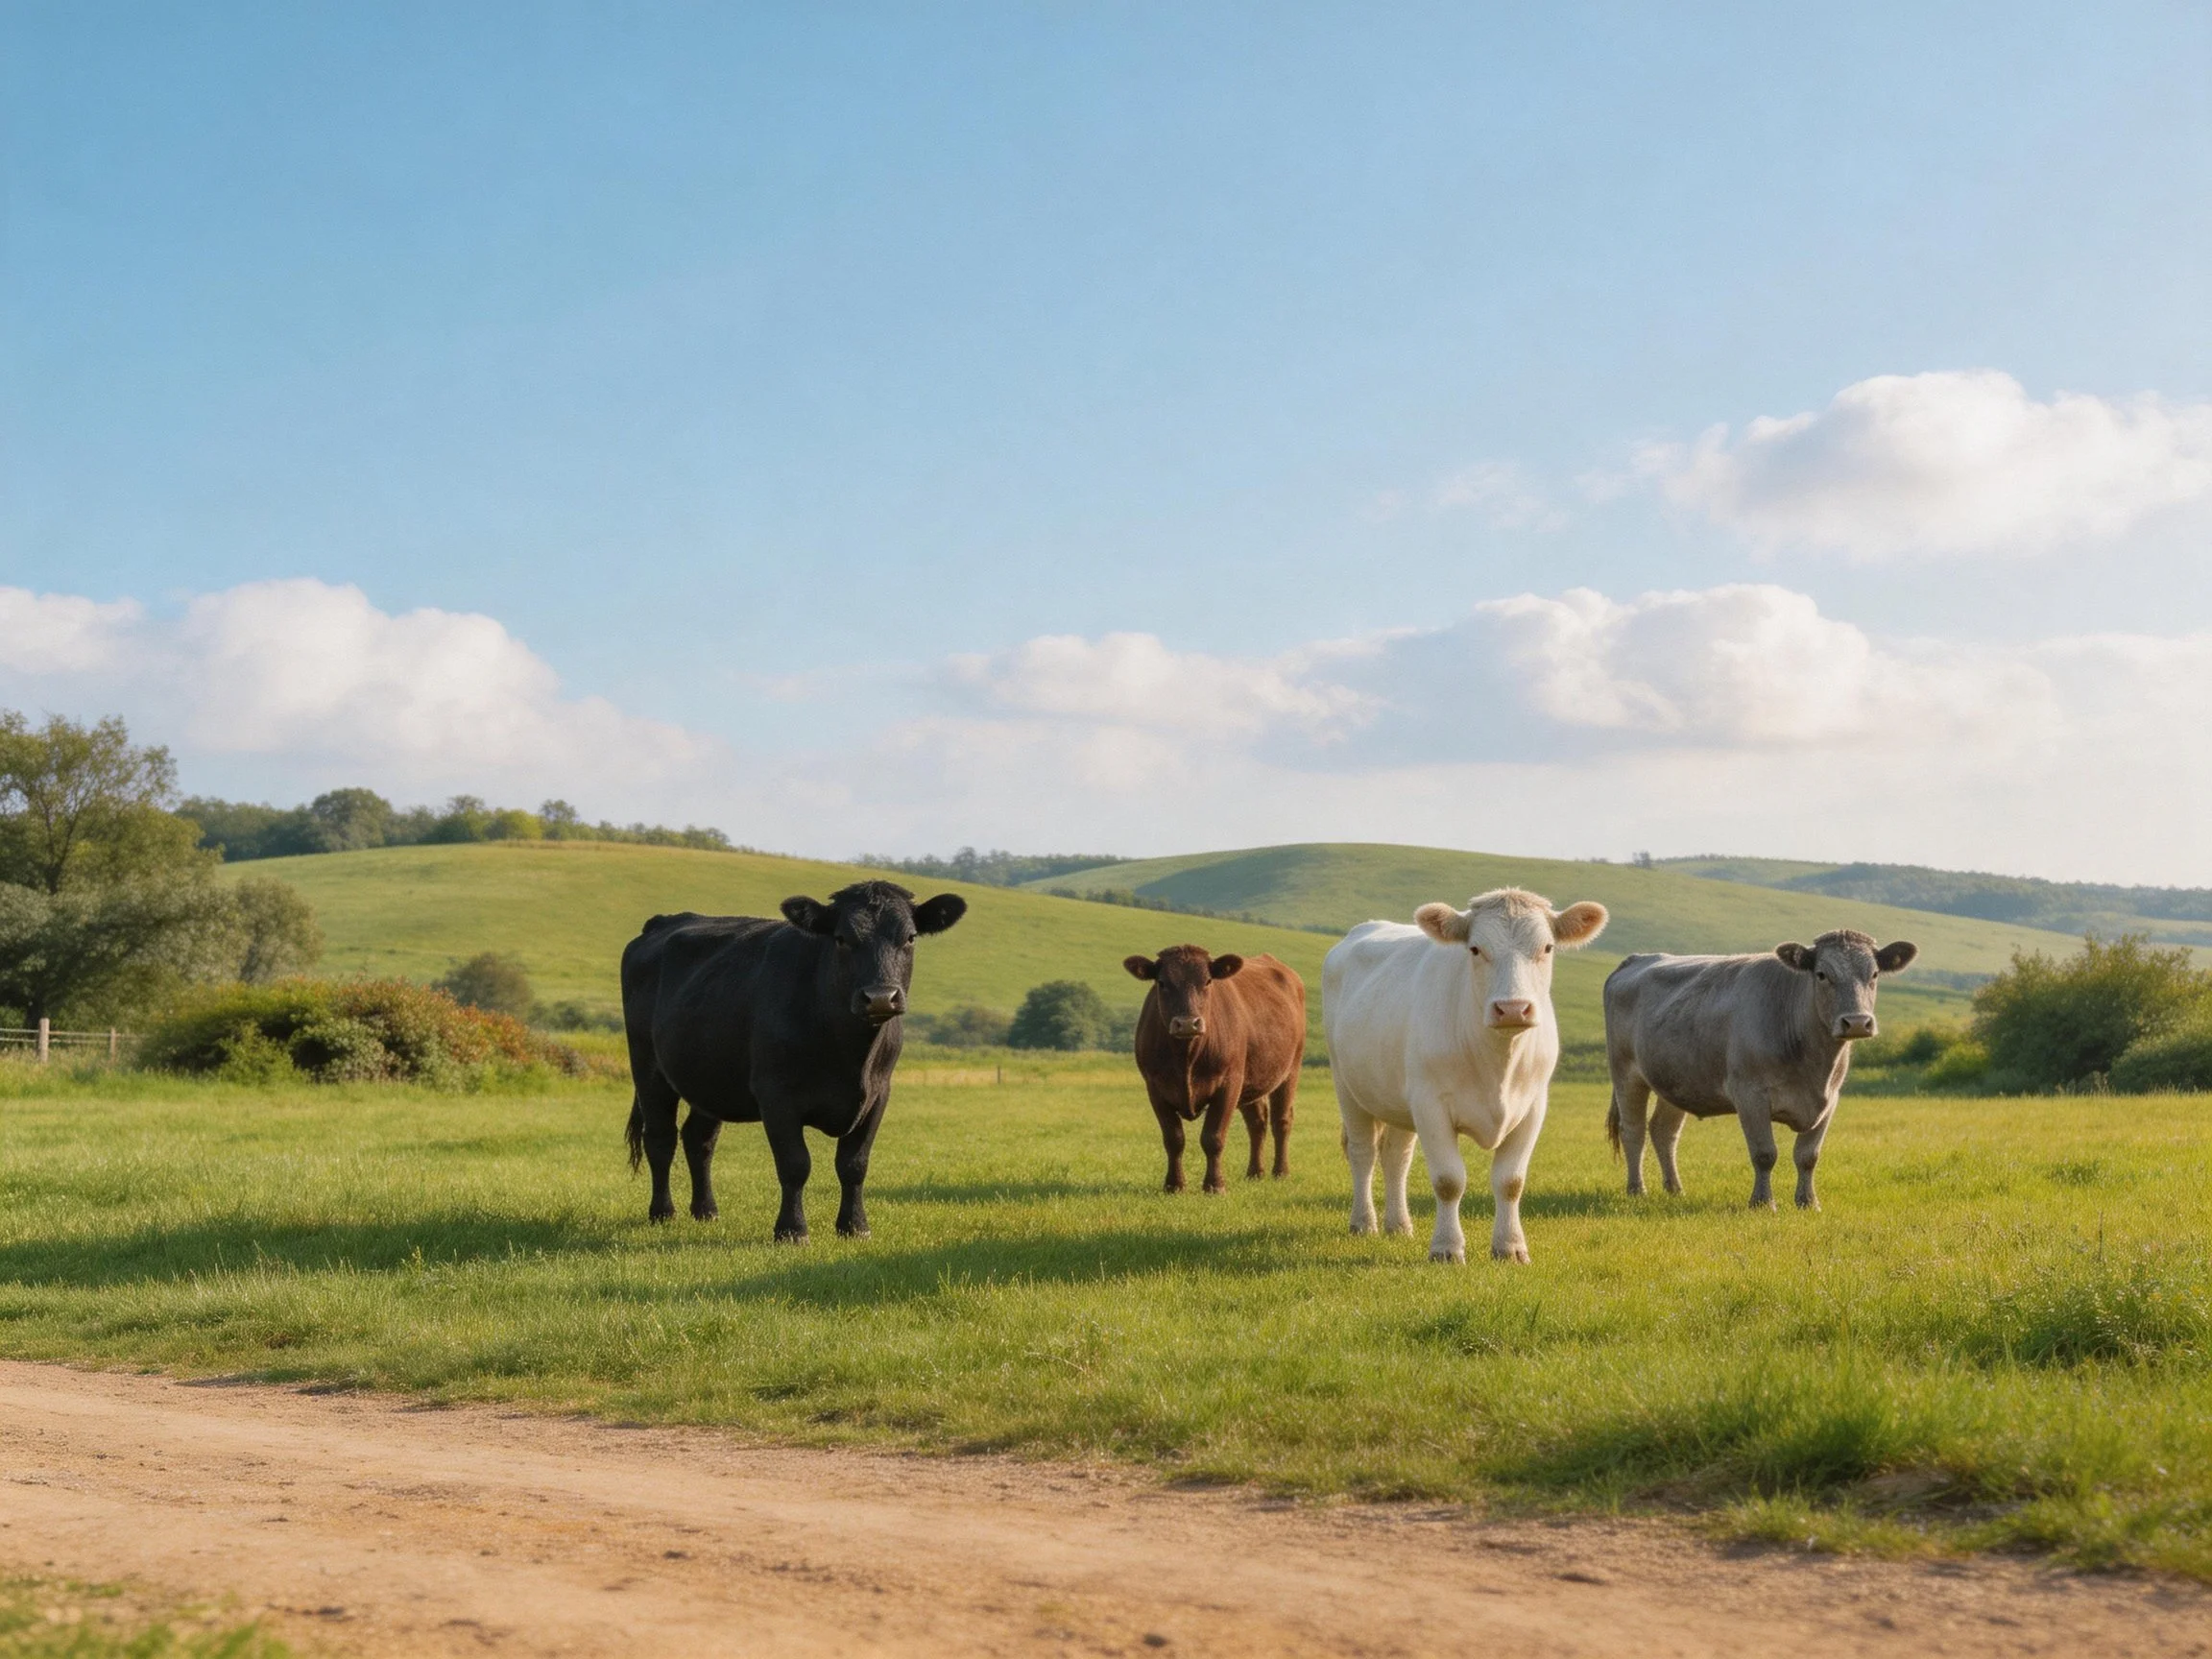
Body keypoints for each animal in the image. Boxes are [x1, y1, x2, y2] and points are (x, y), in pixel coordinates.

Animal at [619, 880, 966, 1242]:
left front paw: (854, 1226)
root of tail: (664, 921)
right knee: (660, 1139)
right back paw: (663, 1212)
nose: (881, 997)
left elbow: (854, 1164)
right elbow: (795, 1164)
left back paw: (706, 1211)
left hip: (710, 1077)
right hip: (648, 1069)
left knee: (698, 1140)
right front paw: (792, 1230)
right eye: (841, 938)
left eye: (910, 937)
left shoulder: (877, 1093)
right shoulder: (776, 1096)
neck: (848, 1055)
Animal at [1123, 946, 1307, 1193]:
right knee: (1257, 1123)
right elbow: (1173, 1139)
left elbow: (1213, 1138)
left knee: (1282, 1121)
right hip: (1252, 1080)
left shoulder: (1229, 1084)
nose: (1188, 1023)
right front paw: (1174, 1185)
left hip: (1290, 1070)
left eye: (1208, 981)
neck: (1186, 1057)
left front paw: (1215, 1185)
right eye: (1162, 982)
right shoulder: (1155, 1088)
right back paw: (1255, 1173)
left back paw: (1280, 1172)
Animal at [1324, 888, 1609, 1264]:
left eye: (1547, 948)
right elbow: (1448, 1180)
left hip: (1397, 1098)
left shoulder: (1534, 1106)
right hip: (1347, 1085)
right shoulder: (1430, 1104)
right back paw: (1363, 1223)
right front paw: (1446, 1248)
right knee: (1363, 1153)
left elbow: (1511, 1181)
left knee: (1396, 1157)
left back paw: (1398, 1225)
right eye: (1475, 948)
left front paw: (1510, 1247)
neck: (1498, 1063)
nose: (1513, 1009)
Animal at [1603, 929, 1918, 1211]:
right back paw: (1637, 1190)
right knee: (1633, 1131)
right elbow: (1765, 1153)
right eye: (1821, 974)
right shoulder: (1750, 1095)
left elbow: (1808, 1156)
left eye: (1874, 974)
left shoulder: (1830, 1099)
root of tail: (1637, 959)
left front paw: (1808, 1202)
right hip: (1626, 1073)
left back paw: (1675, 1189)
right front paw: (1763, 1202)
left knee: (1663, 1131)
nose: (1856, 1022)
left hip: (1676, 1080)